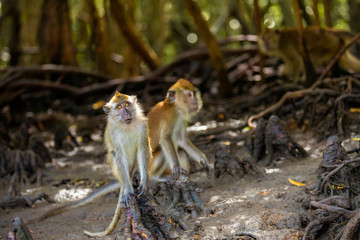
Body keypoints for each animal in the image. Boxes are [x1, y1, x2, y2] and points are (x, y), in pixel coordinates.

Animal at [82, 91, 150, 237]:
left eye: (127, 104)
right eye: (119, 107)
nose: (126, 112)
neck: (126, 125)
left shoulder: (143, 125)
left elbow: (143, 149)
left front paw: (144, 182)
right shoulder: (113, 132)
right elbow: (118, 154)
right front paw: (128, 191)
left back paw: (136, 174)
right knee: (114, 154)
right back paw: (126, 186)